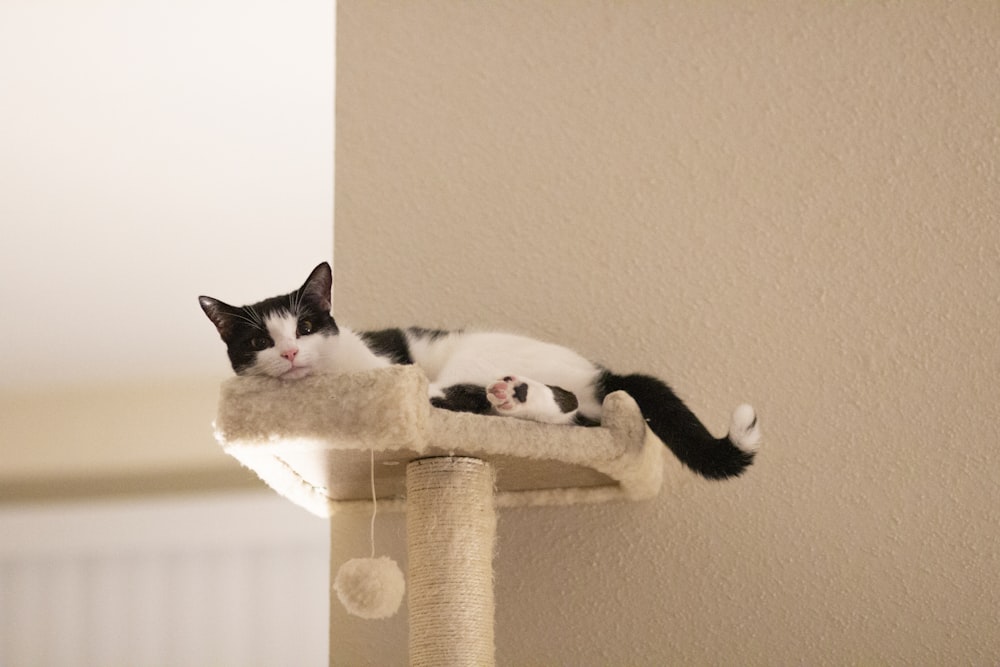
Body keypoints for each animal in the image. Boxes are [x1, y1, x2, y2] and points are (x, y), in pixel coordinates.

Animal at [199, 262, 760, 480]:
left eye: (308, 325)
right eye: (260, 341)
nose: (291, 353)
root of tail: (601, 372)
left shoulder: (385, 368)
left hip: (476, 355)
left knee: (557, 405)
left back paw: (512, 394)